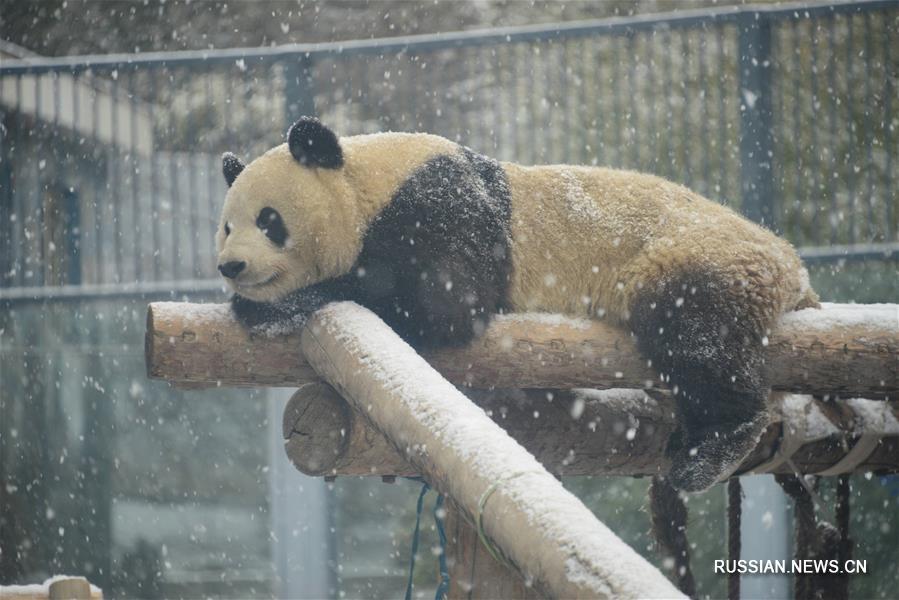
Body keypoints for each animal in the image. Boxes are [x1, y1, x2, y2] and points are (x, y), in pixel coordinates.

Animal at [214, 116, 820, 492]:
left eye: (269, 220)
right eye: (225, 225)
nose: (231, 266)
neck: (368, 180)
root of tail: (793, 266)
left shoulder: (440, 204)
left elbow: (442, 302)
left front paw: (274, 307)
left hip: (695, 255)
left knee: (696, 332)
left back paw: (707, 451)